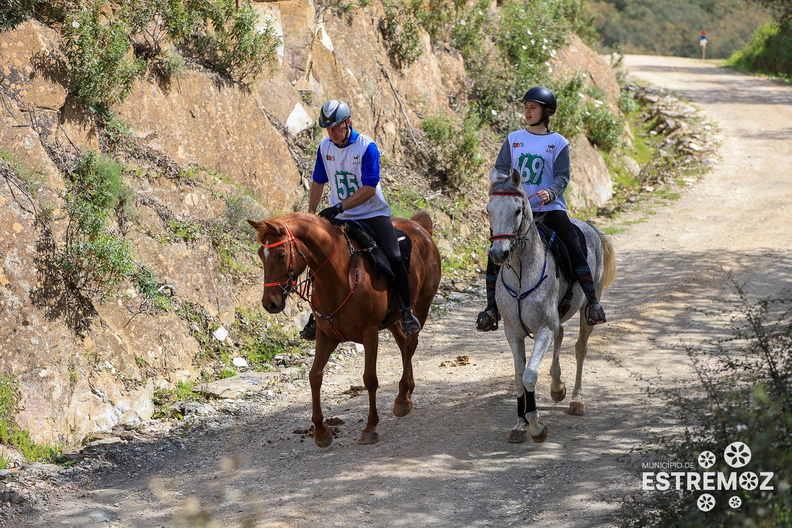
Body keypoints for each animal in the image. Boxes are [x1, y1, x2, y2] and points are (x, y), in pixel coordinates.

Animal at [249, 212, 440, 448]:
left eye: (281, 254)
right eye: (261, 254)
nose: (270, 303)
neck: (340, 277)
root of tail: (419, 226)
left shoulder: (369, 333)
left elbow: (370, 379)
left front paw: (370, 428)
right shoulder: (326, 336)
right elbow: (314, 376)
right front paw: (321, 431)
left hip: (422, 304)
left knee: (411, 343)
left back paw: (403, 398)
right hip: (393, 319)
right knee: (404, 344)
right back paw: (406, 391)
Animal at [486, 168, 616, 442]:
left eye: (517, 210)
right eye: (489, 209)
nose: (499, 254)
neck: (522, 274)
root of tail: (589, 227)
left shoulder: (544, 329)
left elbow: (529, 375)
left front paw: (535, 425)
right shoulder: (513, 332)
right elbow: (518, 377)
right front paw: (520, 424)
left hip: (587, 310)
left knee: (580, 348)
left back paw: (576, 400)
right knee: (562, 333)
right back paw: (557, 387)